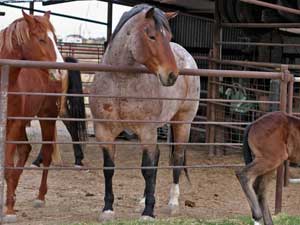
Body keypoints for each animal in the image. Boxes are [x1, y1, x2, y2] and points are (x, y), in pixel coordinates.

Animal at [0, 11, 85, 222]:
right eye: (41, 39)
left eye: (54, 38)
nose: (59, 69)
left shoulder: (13, 125)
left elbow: (7, 166)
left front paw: (10, 210)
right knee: (25, 150)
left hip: (47, 117)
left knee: (46, 154)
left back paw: (39, 197)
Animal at [90, 4, 200, 221]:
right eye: (151, 36)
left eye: (169, 35)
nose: (172, 75)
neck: (121, 81)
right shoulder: (104, 131)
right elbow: (109, 169)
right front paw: (107, 209)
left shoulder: (146, 130)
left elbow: (148, 169)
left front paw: (148, 212)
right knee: (158, 157)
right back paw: (143, 200)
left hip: (182, 123)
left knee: (177, 159)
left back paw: (172, 203)